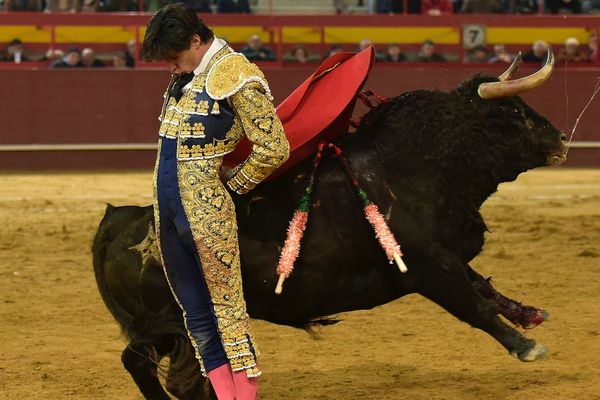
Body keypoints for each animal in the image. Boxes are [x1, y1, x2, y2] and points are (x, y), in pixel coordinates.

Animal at [91, 50, 564, 400]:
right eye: (512, 112)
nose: (560, 138)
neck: (414, 166)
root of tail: (123, 220)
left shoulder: (447, 255)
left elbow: (486, 288)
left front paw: (530, 314)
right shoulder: (429, 268)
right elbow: (474, 306)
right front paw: (527, 347)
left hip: (163, 330)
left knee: (138, 362)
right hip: (186, 326)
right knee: (181, 379)